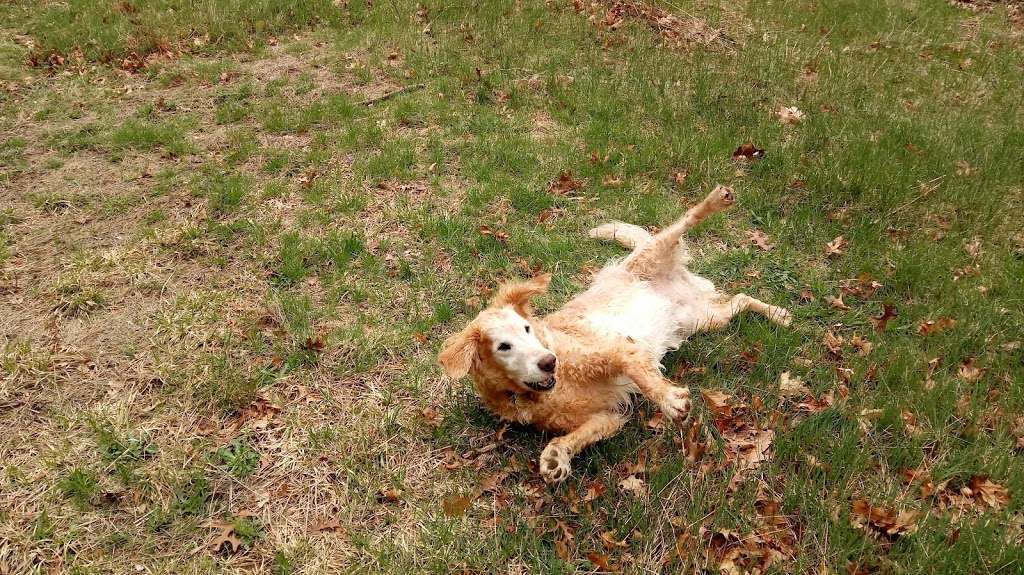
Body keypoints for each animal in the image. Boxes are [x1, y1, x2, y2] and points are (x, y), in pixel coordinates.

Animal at [440, 186, 790, 480]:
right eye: (503, 346)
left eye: (527, 329)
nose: (549, 362)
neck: (540, 391)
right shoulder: (606, 416)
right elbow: (572, 438)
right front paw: (555, 459)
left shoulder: (617, 350)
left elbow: (644, 377)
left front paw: (670, 400)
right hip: (705, 318)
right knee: (741, 298)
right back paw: (780, 315)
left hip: (654, 253)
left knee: (685, 220)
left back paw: (717, 200)